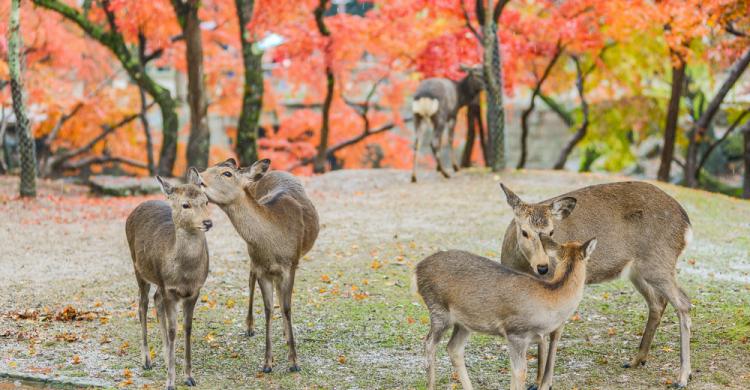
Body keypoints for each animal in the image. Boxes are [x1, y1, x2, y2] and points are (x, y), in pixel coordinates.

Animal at [126, 171, 213, 390]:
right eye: (185, 205)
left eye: (206, 201)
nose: (208, 222)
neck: (185, 274)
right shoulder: (170, 290)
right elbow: (174, 330)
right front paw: (170, 381)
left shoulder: (194, 291)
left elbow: (187, 328)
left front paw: (188, 376)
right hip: (138, 267)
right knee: (142, 306)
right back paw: (147, 360)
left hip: (159, 281)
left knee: (156, 299)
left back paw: (165, 358)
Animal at [192, 159, 318, 374]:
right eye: (208, 167)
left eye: (227, 173)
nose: (196, 175)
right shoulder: (262, 269)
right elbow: (268, 309)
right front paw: (267, 363)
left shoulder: (291, 264)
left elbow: (286, 307)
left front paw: (294, 362)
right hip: (252, 257)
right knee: (250, 279)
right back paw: (250, 327)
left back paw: (285, 334)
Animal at [414, 235, 596, 390]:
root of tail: (416, 270)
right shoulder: (516, 333)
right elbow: (520, 373)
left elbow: (515, 373)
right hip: (438, 309)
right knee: (429, 343)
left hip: (464, 322)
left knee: (453, 348)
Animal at [502, 183, 696, 390]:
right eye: (524, 231)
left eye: (552, 231)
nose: (544, 267)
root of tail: (686, 225)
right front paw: (537, 381)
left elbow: (553, 333)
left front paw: (545, 383)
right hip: (637, 270)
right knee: (658, 303)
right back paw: (636, 360)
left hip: (658, 261)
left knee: (683, 302)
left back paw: (683, 377)